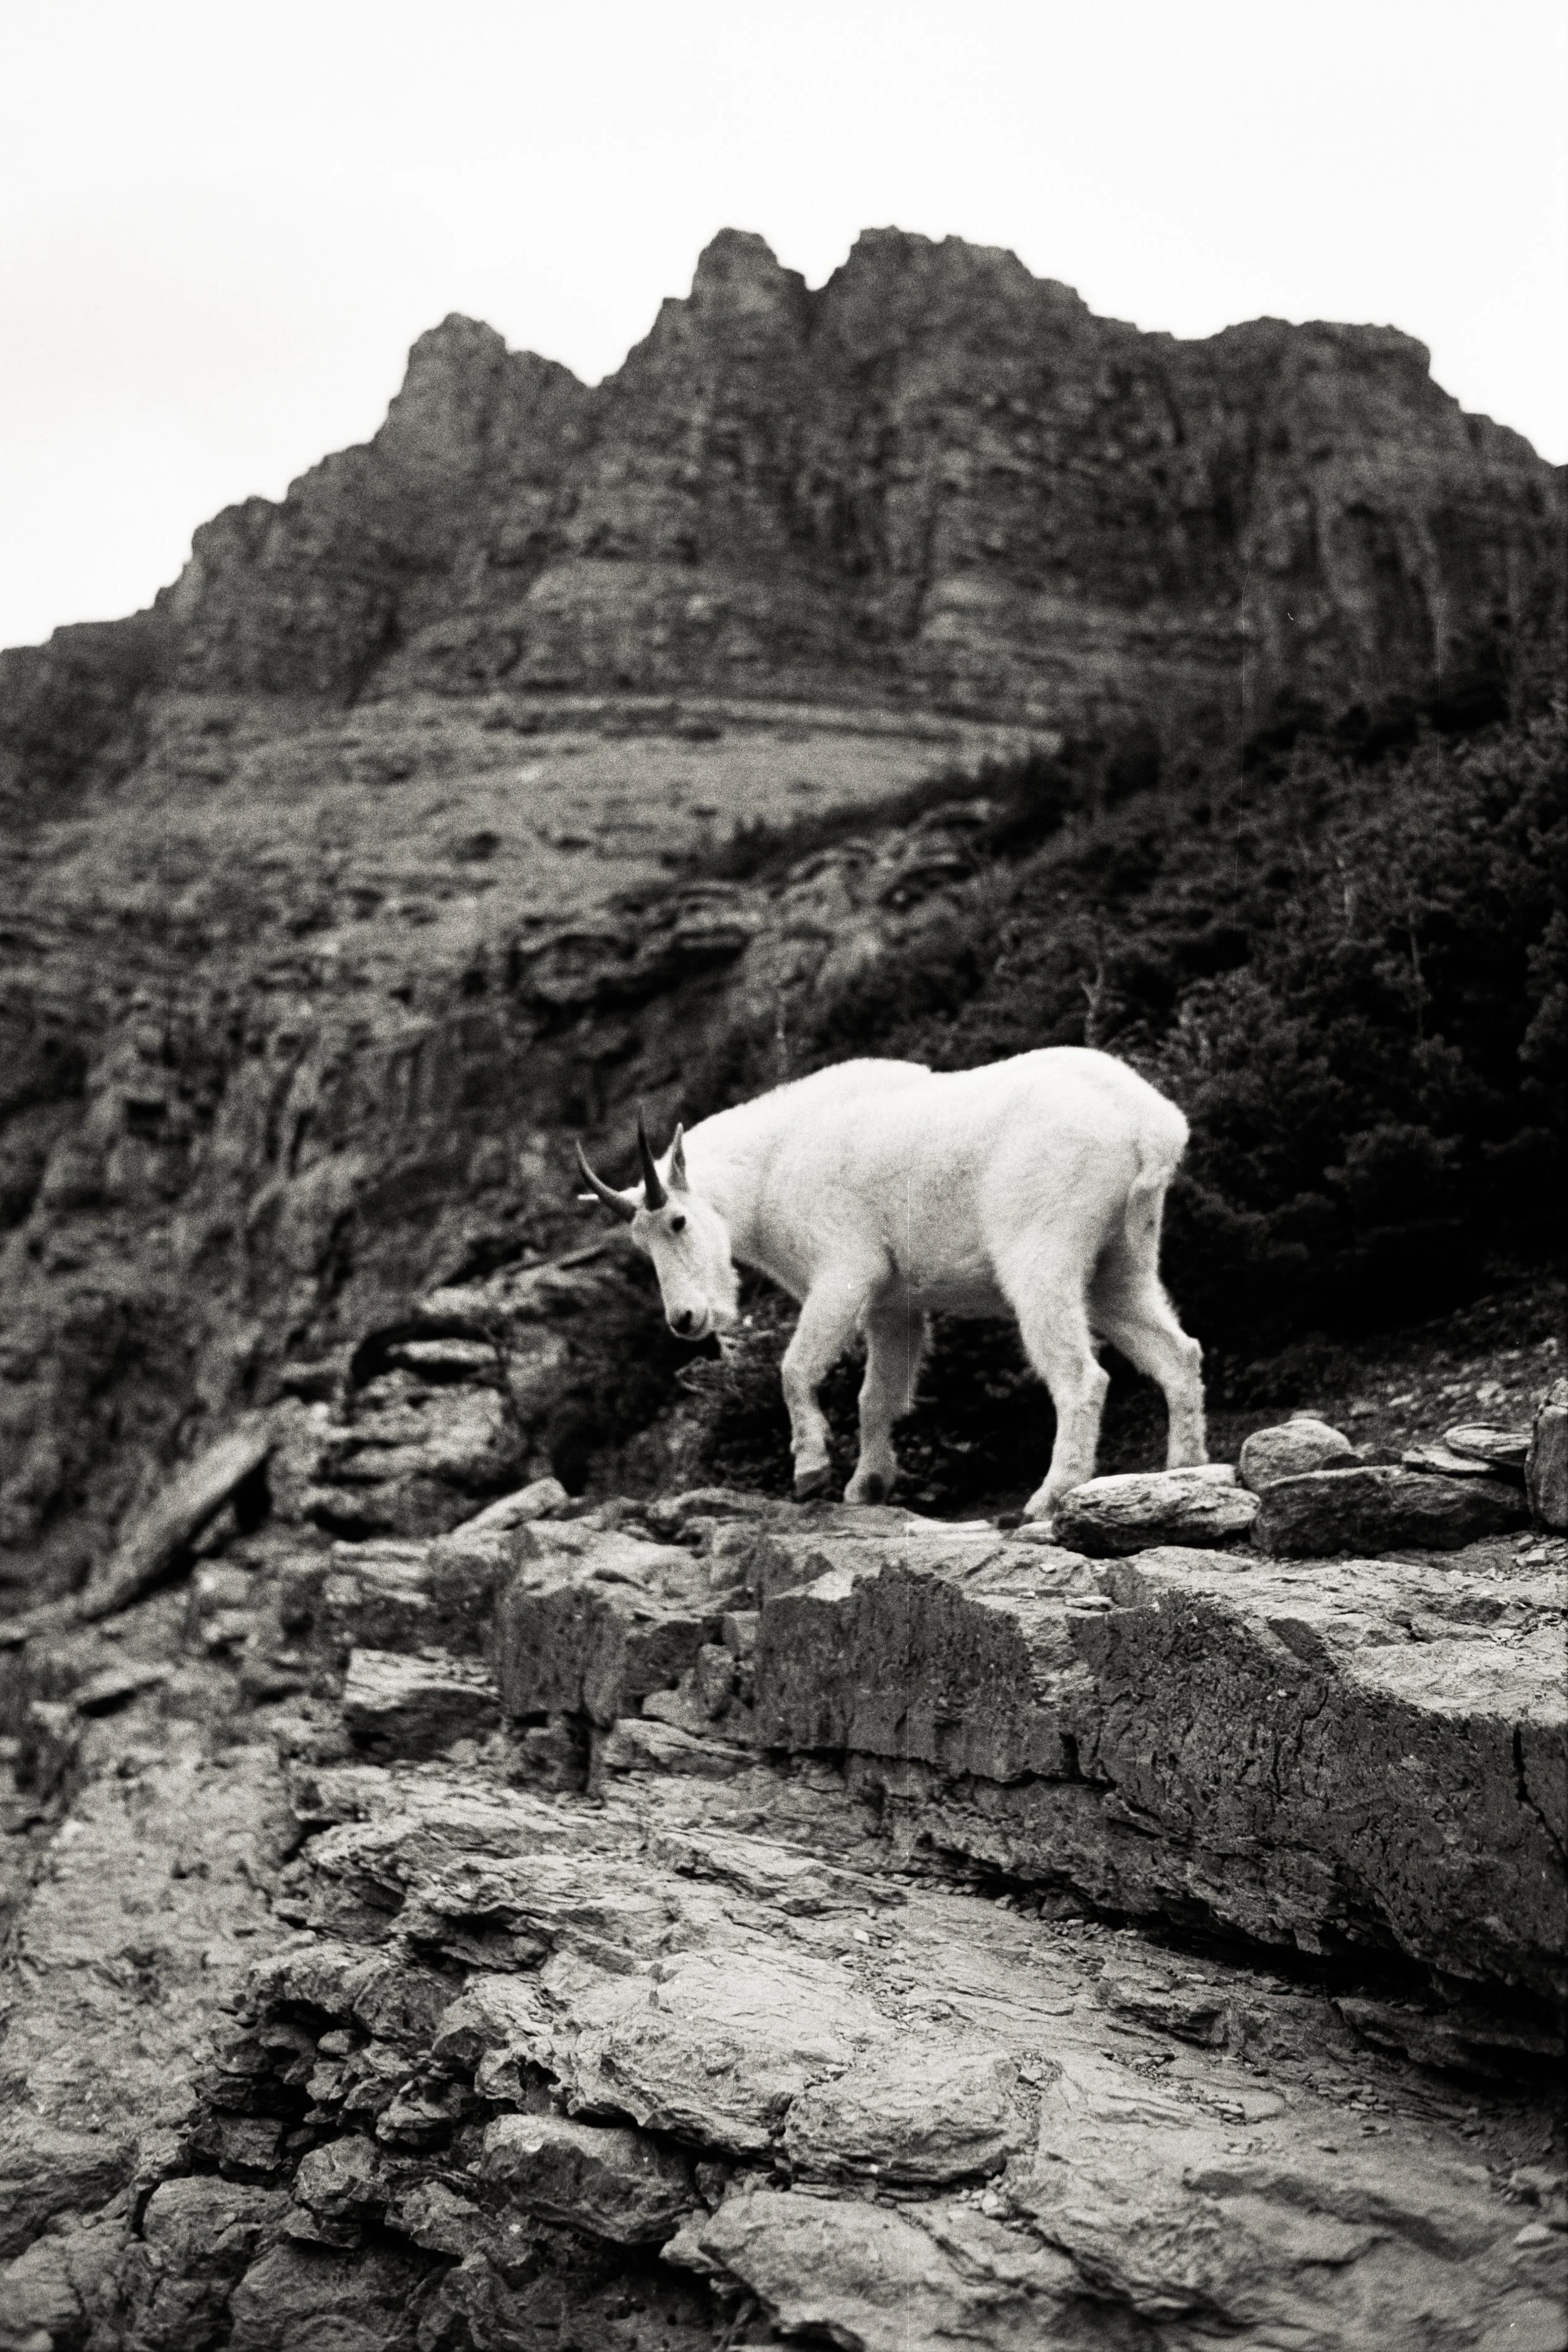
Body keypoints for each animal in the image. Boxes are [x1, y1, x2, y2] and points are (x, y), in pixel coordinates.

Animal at [575, 1049, 1206, 1523]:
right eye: (641, 1243)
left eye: (678, 1222)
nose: (685, 1320)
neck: (770, 1167)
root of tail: (1151, 1126)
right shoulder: (893, 1304)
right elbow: (876, 1395)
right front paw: (868, 1487)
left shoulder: (846, 1271)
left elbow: (795, 1368)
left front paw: (811, 1471)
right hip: (1120, 1262)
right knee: (1178, 1352)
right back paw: (1186, 1469)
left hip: (1042, 1253)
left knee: (1081, 1377)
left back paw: (1049, 1497)